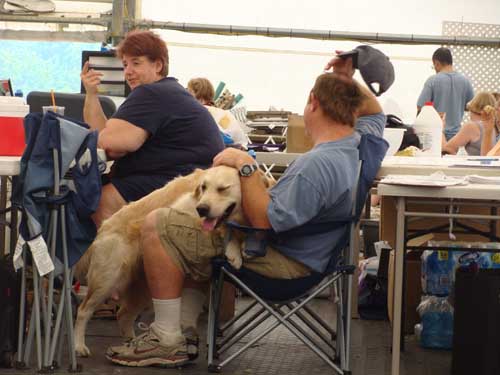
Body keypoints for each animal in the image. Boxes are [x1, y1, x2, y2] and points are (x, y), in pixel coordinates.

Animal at [73, 167, 250, 358]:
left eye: (223, 188)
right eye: (204, 187)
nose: (202, 209)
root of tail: (102, 229)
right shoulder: (184, 210)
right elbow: (221, 227)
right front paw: (234, 251)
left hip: (144, 287)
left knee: (123, 314)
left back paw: (132, 345)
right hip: (107, 279)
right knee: (83, 311)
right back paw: (79, 346)